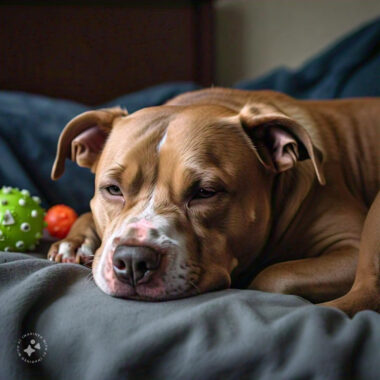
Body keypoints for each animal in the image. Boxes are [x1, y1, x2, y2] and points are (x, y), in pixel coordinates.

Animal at [46, 88, 378, 314]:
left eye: (205, 192)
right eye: (113, 189)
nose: (132, 260)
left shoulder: (350, 247)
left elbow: (274, 276)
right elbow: (86, 215)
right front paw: (74, 243)